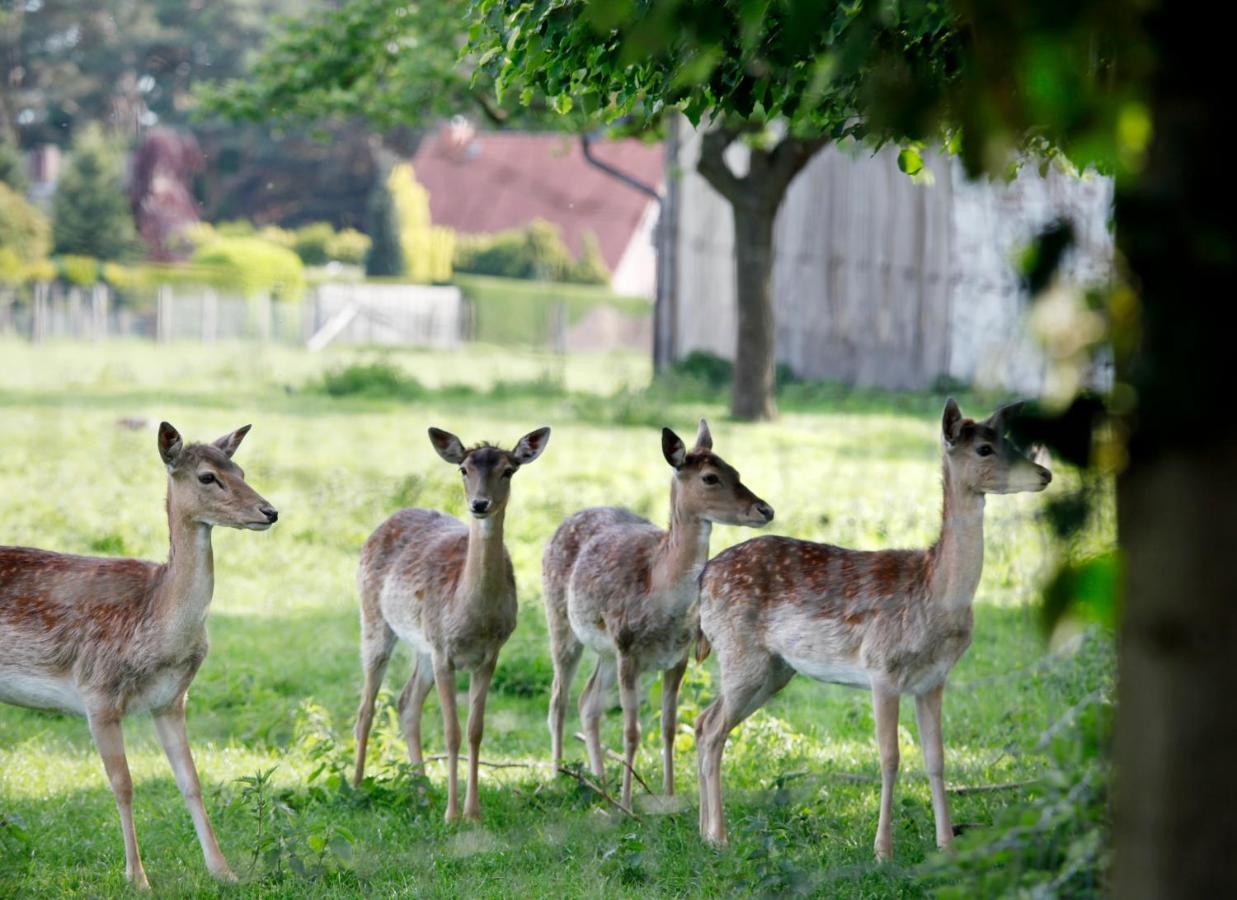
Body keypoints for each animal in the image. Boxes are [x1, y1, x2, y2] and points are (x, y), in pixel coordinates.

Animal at [0, 422, 278, 885]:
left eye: (239, 469)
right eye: (208, 476)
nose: (269, 511)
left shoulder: (171, 699)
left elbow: (191, 781)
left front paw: (224, 871)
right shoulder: (97, 693)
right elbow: (123, 784)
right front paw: (137, 877)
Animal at [356, 427, 554, 820]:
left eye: (509, 470)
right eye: (464, 469)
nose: (479, 504)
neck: (472, 618)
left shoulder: (491, 654)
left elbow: (476, 730)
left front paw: (472, 812)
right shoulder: (444, 651)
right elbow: (452, 731)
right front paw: (452, 815)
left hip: (421, 647)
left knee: (406, 703)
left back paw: (422, 793)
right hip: (374, 620)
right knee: (366, 707)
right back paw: (354, 786)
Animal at [544, 422, 771, 810]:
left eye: (736, 470)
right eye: (711, 477)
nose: (765, 510)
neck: (660, 592)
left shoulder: (678, 656)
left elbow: (668, 726)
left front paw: (668, 794)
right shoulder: (627, 648)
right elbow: (631, 730)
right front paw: (627, 802)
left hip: (605, 651)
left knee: (588, 700)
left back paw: (598, 780)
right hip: (560, 619)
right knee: (559, 698)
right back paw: (560, 776)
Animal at [692, 400, 1048, 855]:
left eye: (1008, 440)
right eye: (985, 448)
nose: (1045, 474)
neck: (933, 591)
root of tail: (703, 578)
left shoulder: (933, 679)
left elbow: (936, 758)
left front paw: (946, 845)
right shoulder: (882, 667)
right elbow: (890, 757)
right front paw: (882, 850)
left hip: (774, 669)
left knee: (704, 721)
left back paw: (704, 833)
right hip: (741, 653)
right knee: (713, 728)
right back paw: (719, 837)